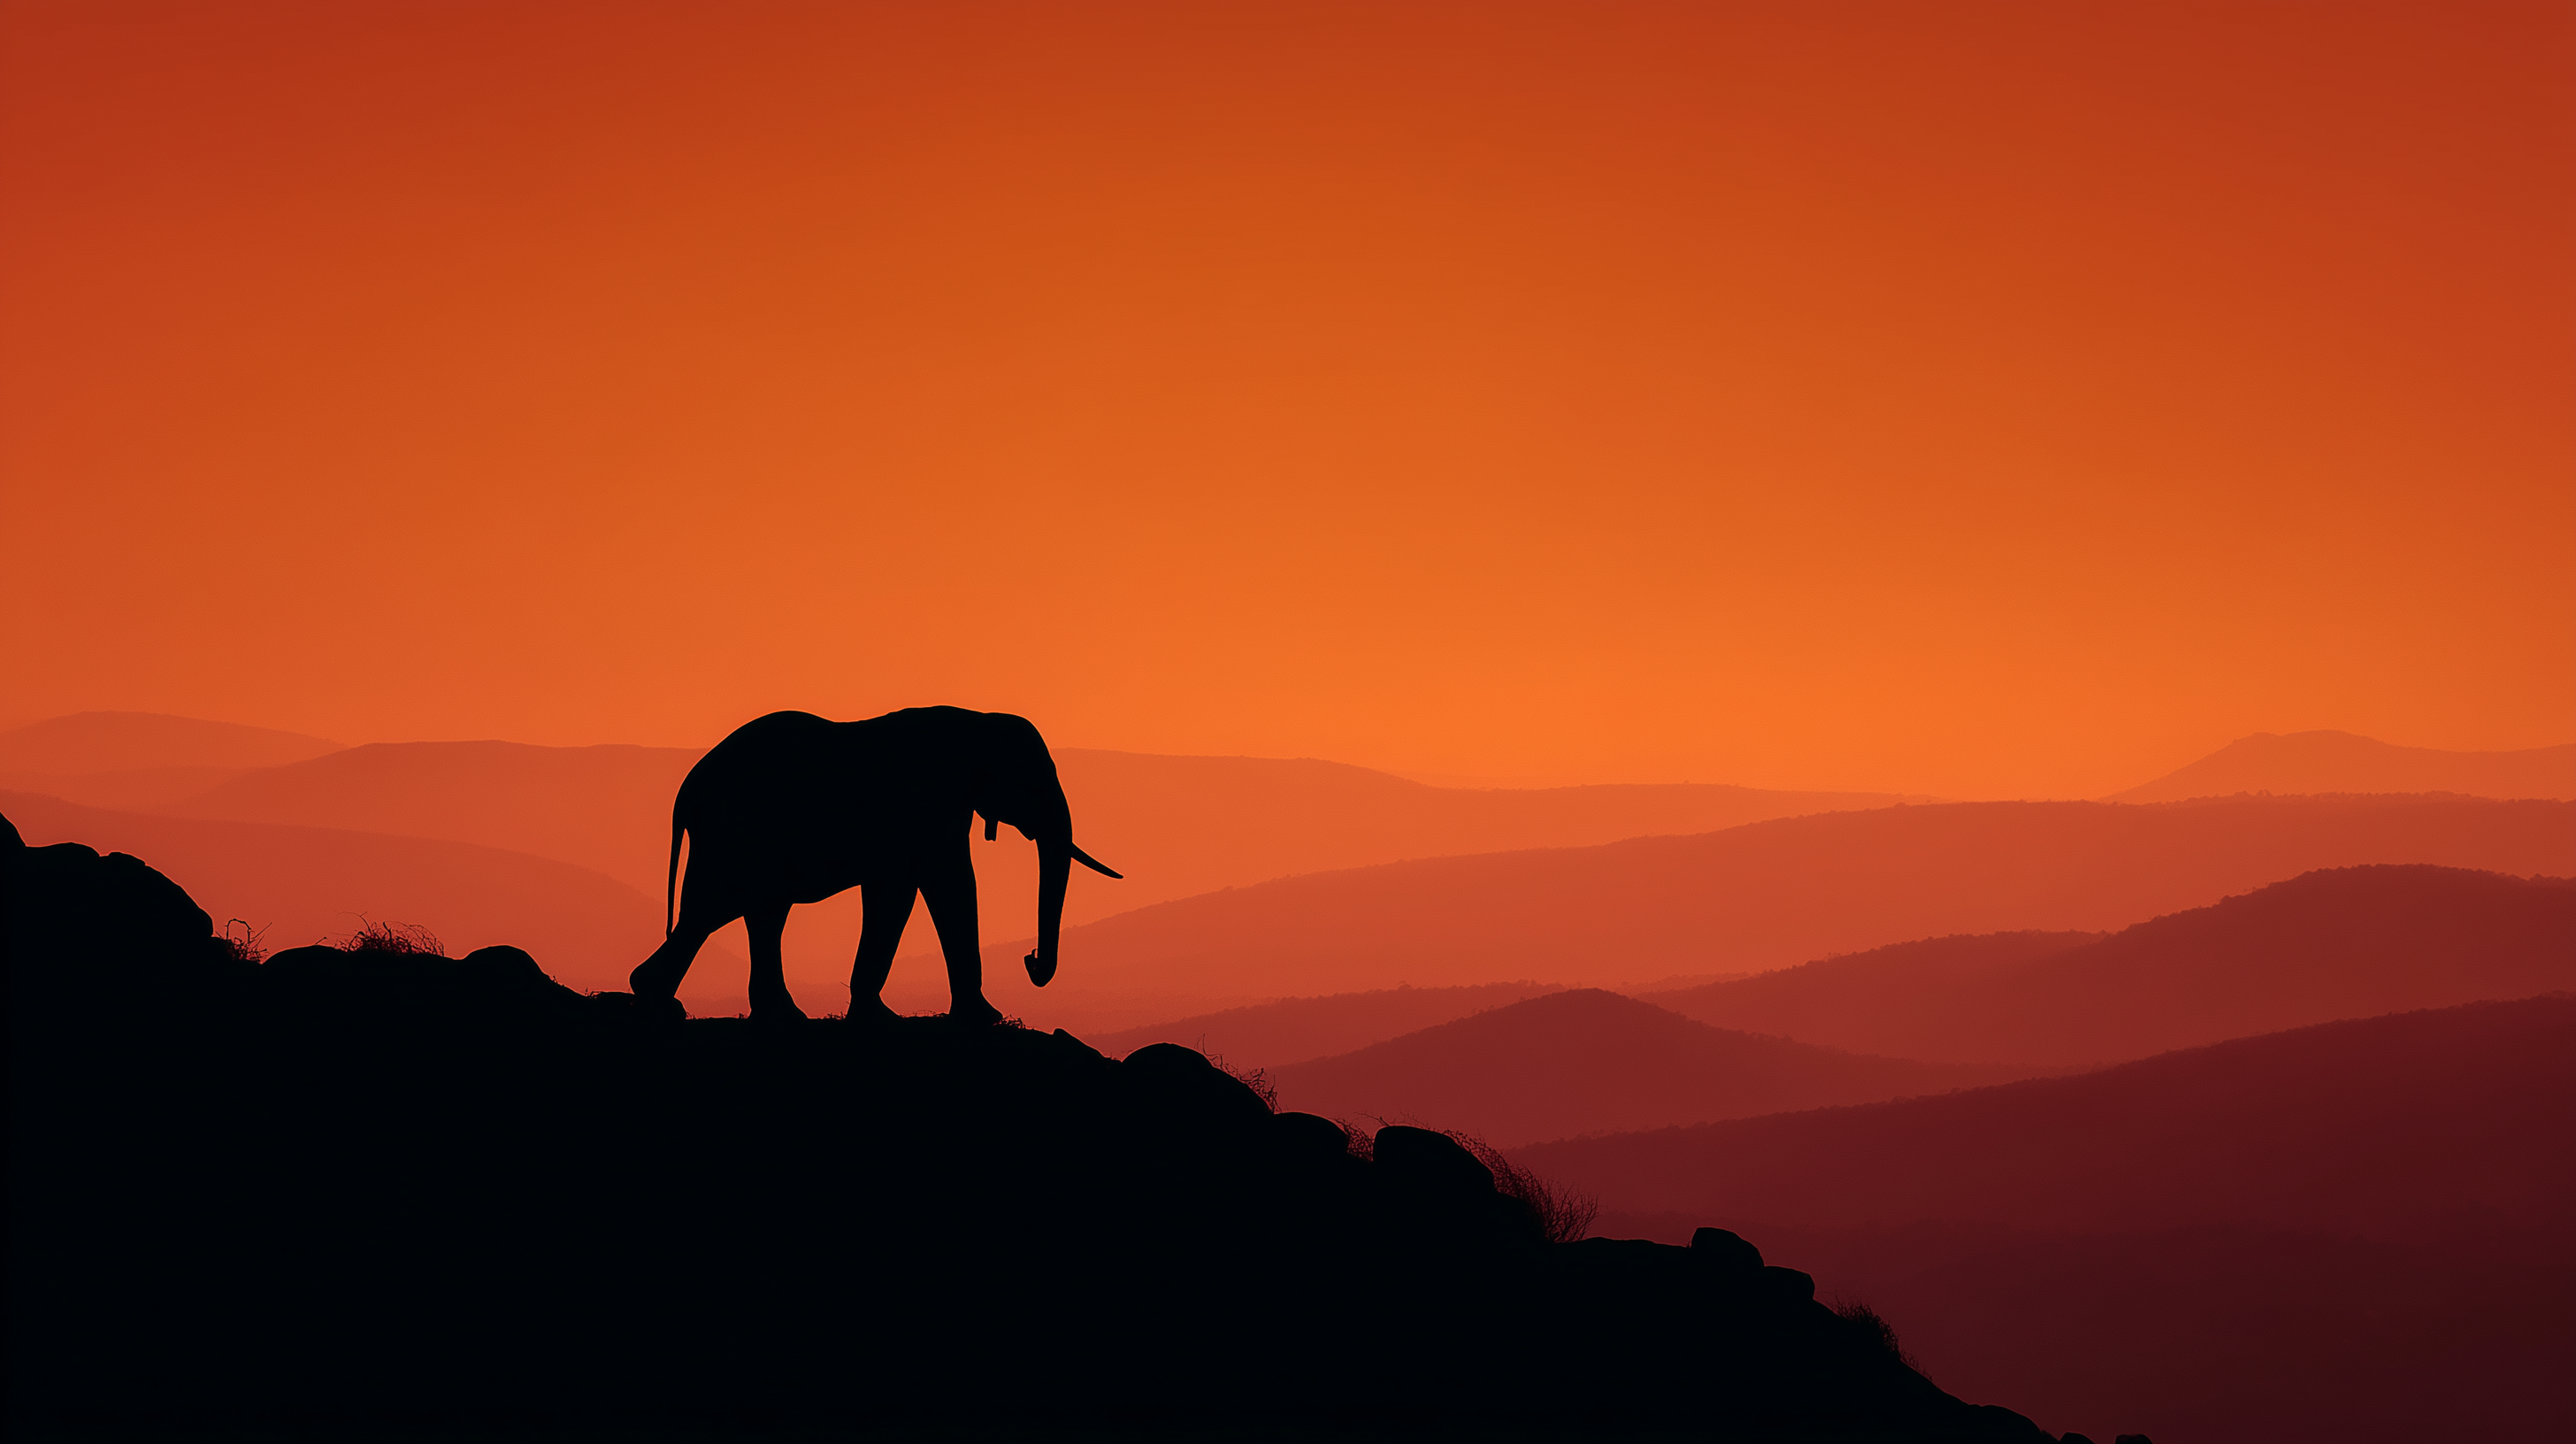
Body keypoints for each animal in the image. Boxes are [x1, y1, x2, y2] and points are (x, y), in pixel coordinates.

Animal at [627, 707, 1119, 1023]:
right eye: (1034, 783)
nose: (1030, 960)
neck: (979, 721)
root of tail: (686, 790)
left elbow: (894, 894)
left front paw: (877, 1015)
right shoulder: (930, 805)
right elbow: (949, 883)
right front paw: (986, 1018)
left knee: (757, 914)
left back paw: (773, 1015)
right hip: (736, 833)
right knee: (713, 910)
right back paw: (661, 1001)